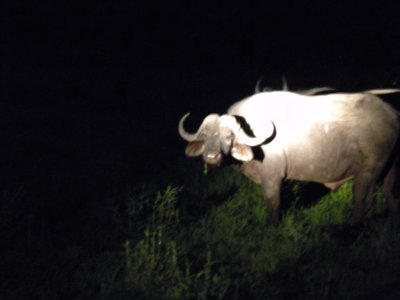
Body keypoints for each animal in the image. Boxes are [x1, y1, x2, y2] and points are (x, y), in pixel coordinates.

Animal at [180, 89, 400, 225]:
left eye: (229, 136)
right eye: (205, 135)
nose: (211, 156)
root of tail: (392, 114)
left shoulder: (272, 179)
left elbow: (273, 204)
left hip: (368, 172)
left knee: (363, 200)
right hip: (389, 168)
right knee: (390, 193)